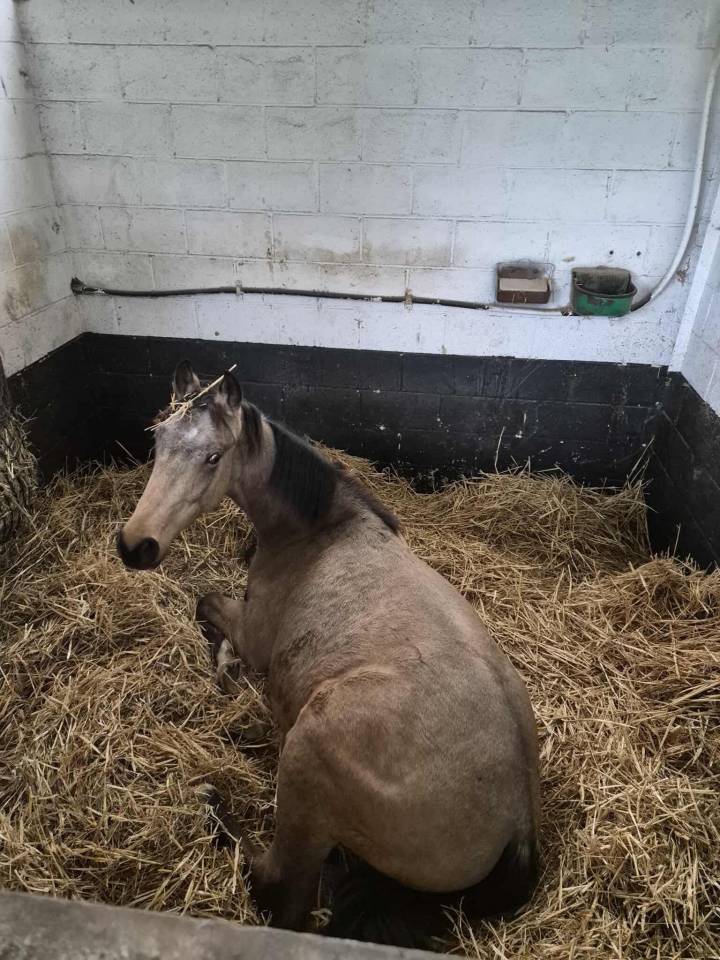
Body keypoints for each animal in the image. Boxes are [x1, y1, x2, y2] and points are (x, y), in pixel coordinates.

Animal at [117, 361, 540, 947]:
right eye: (157, 440)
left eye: (213, 457)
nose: (136, 545)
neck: (320, 531)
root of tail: (516, 827)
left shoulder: (252, 632)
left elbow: (206, 606)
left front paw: (225, 668)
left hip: (306, 755)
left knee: (280, 888)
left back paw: (214, 807)